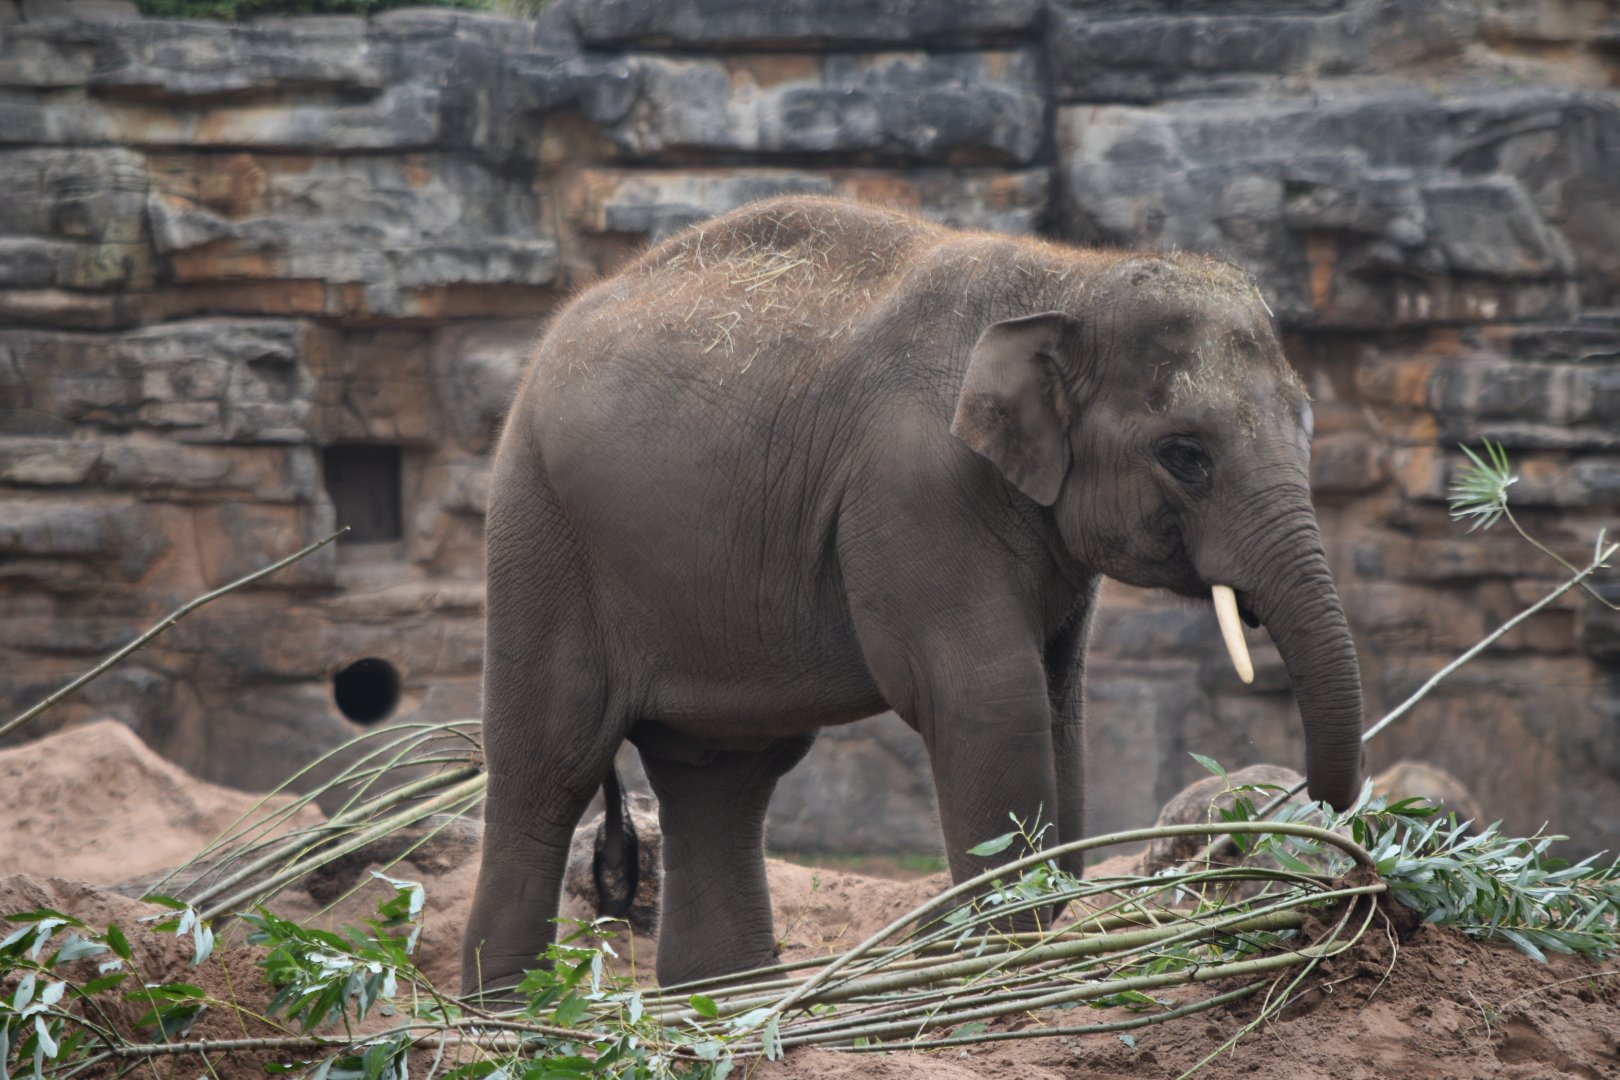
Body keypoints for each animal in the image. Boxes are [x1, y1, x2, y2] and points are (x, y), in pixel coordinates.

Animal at [461, 197, 1364, 995]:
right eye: (1184, 454)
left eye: (1309, 426)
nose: (1319, 806)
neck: (1068, 277)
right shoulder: (918, 489)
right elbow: (990, 702)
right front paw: (1005, 957)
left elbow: (1059, 708)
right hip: (539, 528)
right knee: (551, 761)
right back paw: (509, 1006)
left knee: (723, 773)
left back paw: (727, 997)